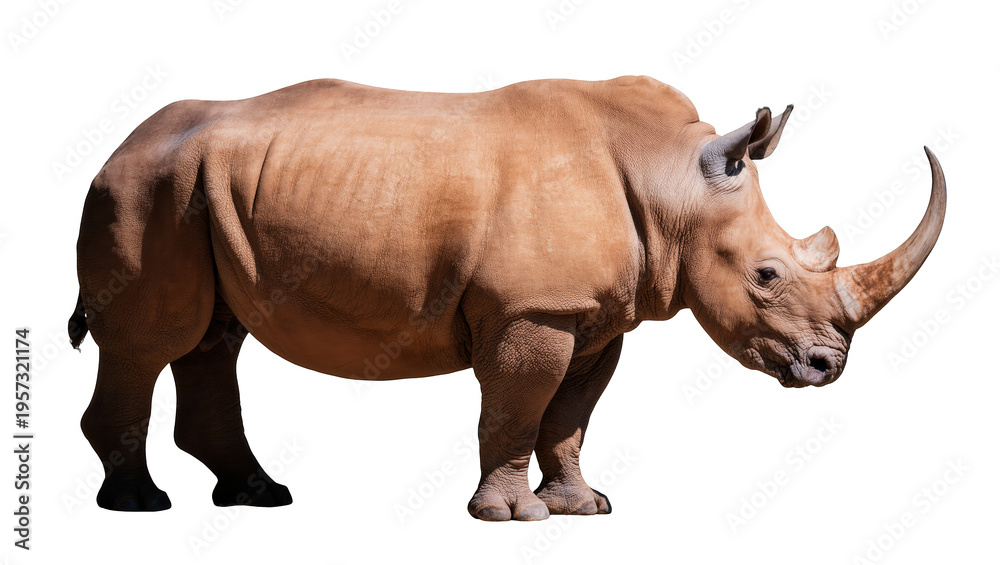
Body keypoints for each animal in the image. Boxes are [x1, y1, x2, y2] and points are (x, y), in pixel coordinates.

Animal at [68, 75, 945, 519]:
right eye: (767, 276)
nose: (827, 367)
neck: (671, 182)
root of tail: (116, 146)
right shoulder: (534, 308)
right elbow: (518, 407)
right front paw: (510, 518)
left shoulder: (594, 315)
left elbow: (570, 415)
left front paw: (585, 507)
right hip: (145, 190)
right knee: (151, 342)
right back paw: (141, 506)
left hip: (195, 189)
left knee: (211, 337)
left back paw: (258, 496)